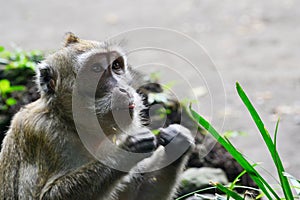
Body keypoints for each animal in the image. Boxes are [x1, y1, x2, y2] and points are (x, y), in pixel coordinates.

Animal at [0, 33, 195, 199]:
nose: (123, 88)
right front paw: (127, 149)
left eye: (116, 66)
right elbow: (45, 196)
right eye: (95, 69)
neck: (71, 123)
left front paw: (177, 141)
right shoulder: (42, 133)